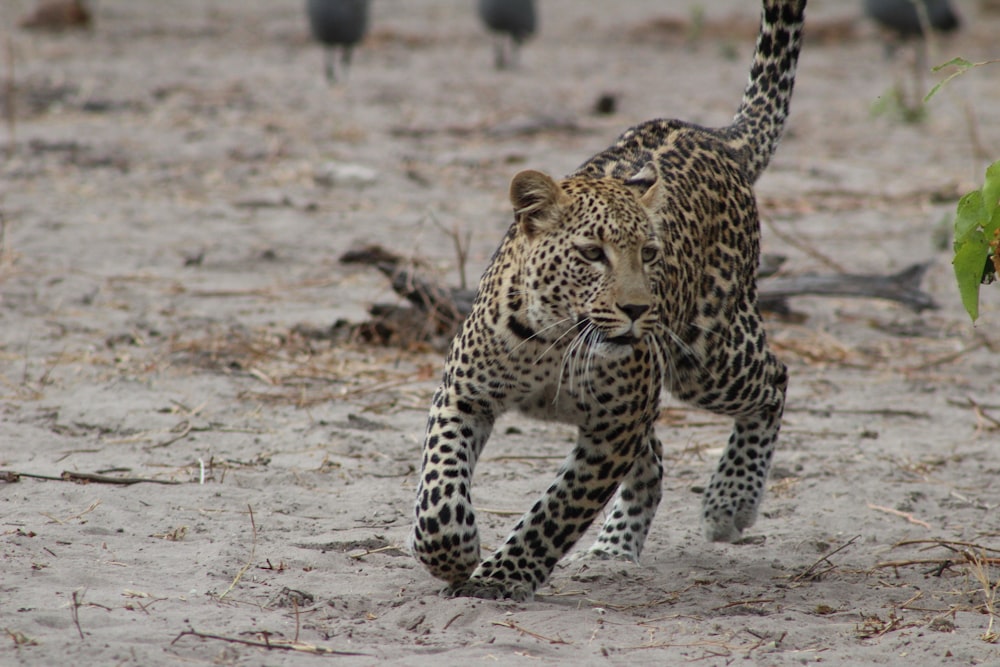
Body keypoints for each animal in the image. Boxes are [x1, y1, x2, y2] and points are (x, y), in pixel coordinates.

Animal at [406, 0, 804, 604]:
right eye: (593, 253)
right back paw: (615, 550)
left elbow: (557, 510)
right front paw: (454, 551)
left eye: (650, 253)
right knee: (657, 456)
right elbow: (438, 489)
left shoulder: (613, 429)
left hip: (706, 356)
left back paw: (729, 500)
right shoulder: (463, 394)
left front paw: (501, 577)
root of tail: (715, 137)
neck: (552, 341)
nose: (639, 310)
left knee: (774, 380)